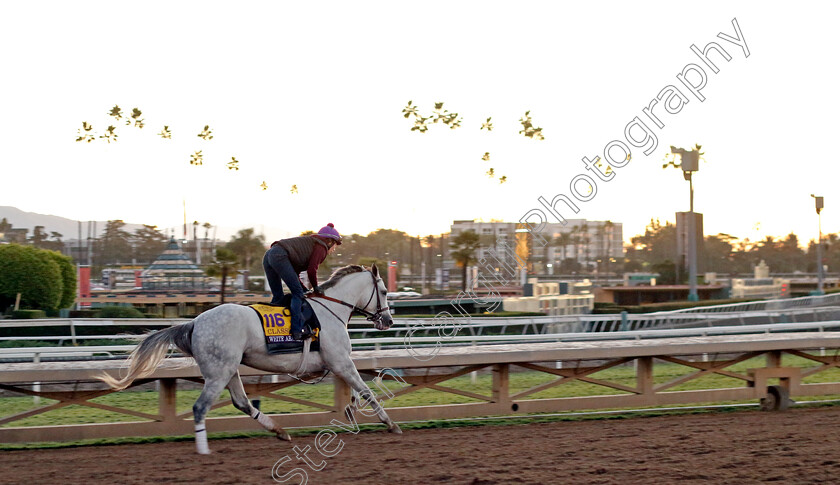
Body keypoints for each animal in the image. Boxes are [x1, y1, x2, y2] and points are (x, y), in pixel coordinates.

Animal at [98, 262, 400, 452]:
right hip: (218, 373)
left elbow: (357, 390)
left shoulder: (337, 363)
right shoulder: (340, 361)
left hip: (229, 369)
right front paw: (390, 424)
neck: (330, 310)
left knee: (241, 402)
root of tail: (194, 322)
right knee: (200, 407)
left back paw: (280, 431)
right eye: (385, 292)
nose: (388, 321)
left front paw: (351, 410)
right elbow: (367, 390)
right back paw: (204, 450)